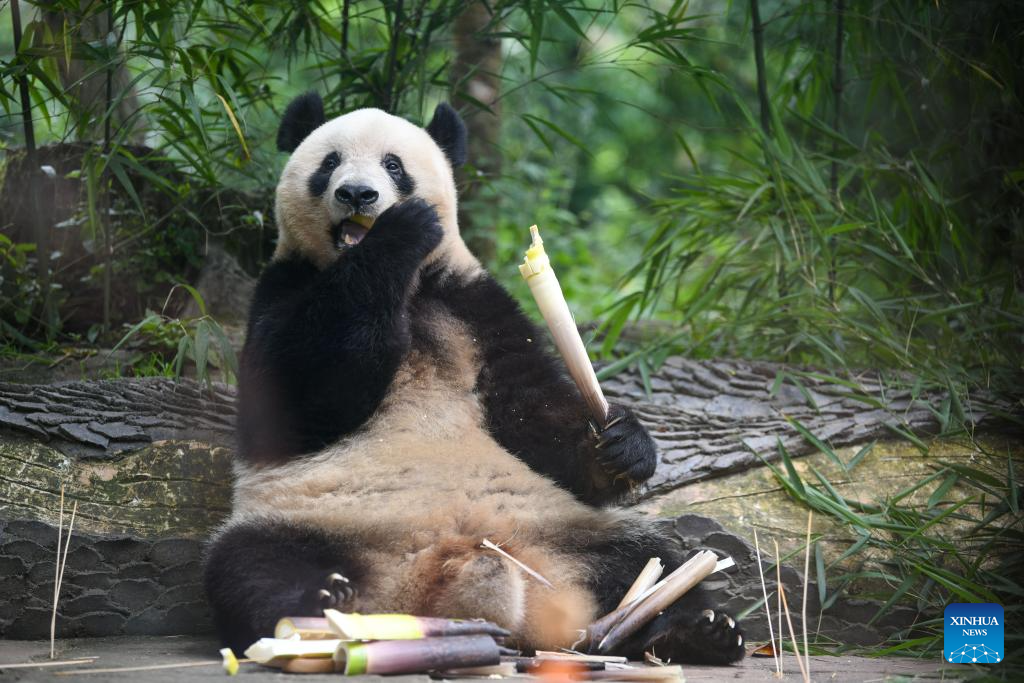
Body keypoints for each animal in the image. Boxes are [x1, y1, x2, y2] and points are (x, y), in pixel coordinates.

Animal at [201, 93, 745, 663]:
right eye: (330, 163)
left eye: (393, 165)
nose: (357, 194)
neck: (409, 287)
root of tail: (437, 576)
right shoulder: (281, 288)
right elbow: (301, 394)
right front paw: (401, 231)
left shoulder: (473, 304)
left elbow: (536, 416)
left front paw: (621, 445)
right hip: (311, 520)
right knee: (253, 567)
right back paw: (323, 605)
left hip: (563, 531)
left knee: (649, 557)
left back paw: (695, 629)